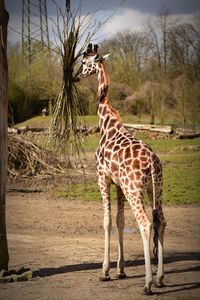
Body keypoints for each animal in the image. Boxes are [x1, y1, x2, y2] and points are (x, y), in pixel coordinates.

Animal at [75, 44, 166, 296]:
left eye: (83, 62)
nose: (75, 77)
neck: (106, 122)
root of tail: (152, 163)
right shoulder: (118, 184)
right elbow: (119, 221)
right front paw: (121, 270)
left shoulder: (102, 178)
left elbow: (106, 221)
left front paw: (105, 271)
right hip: (154, 188)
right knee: (161, 221)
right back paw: (160, 278)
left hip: (134, 189)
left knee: (145, 223)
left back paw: (147, 284)